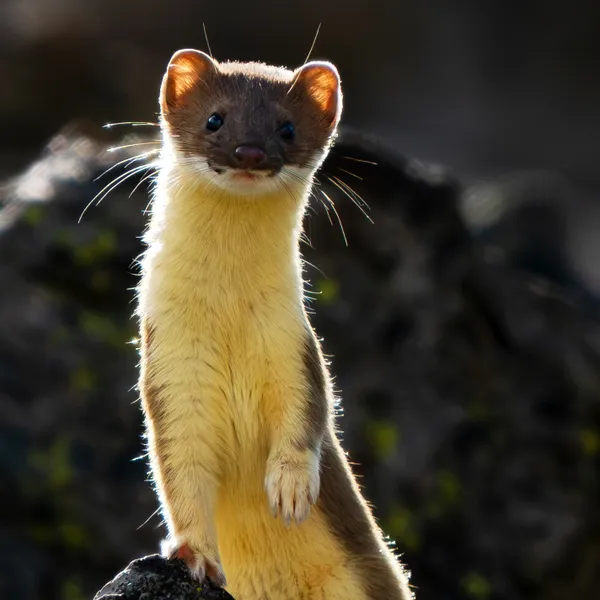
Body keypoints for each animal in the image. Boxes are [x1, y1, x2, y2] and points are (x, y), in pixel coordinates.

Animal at [138, 48, 414, 600]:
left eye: (286, 128)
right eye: (215, 118)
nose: (249, 152)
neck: (228, 319)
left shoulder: (294, 343)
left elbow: (308, 411)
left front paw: (289, 487)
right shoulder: (170, 363)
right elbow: (180, 472)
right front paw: (194, 556)